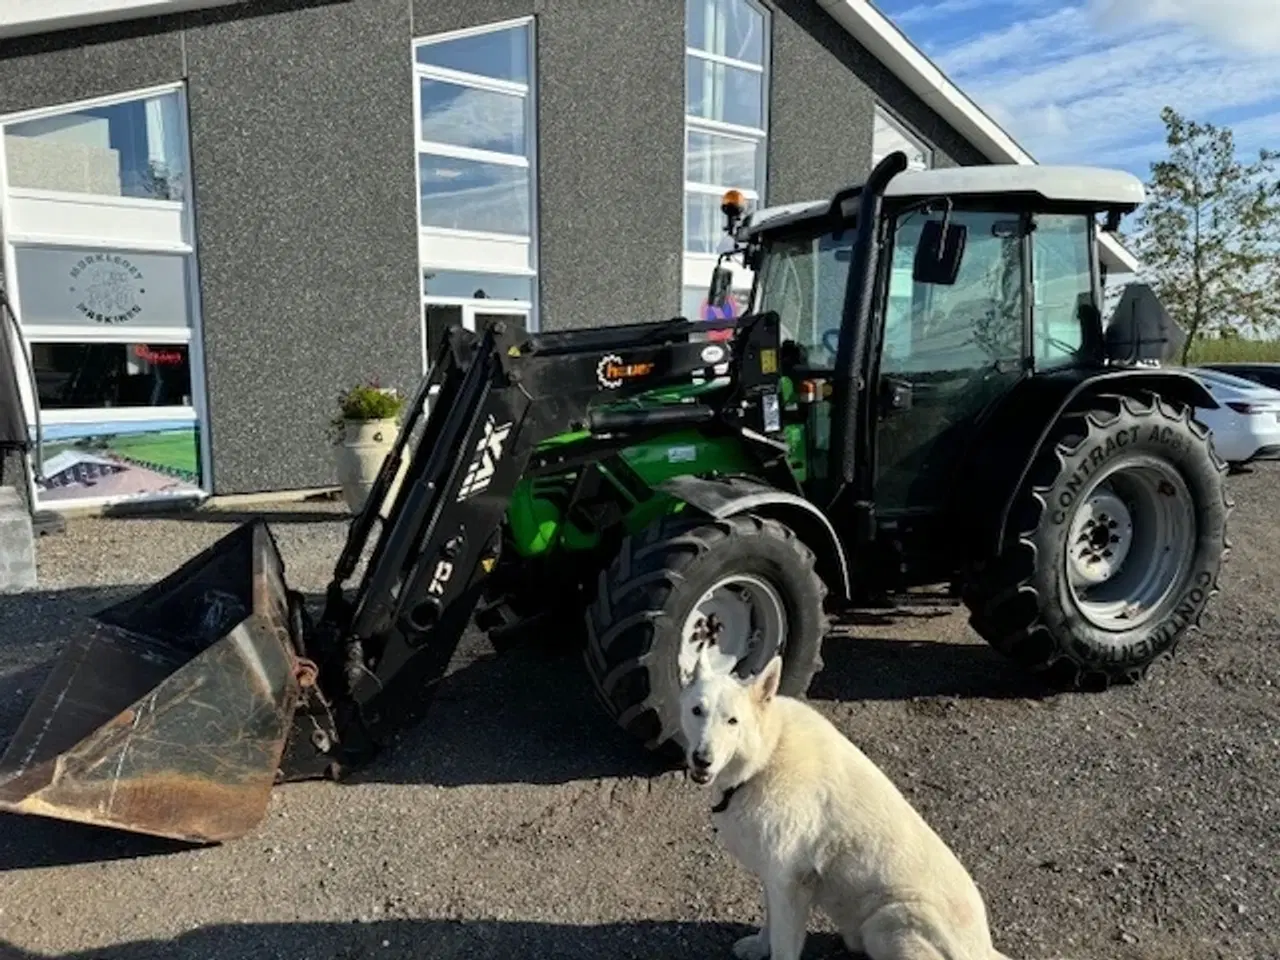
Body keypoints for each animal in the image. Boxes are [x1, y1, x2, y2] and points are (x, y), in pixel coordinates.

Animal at [680, 647, 1018, 960]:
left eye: (732, 721)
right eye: (696, 711)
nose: (701, 759)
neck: (766, 755)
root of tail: (984, 950)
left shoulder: (790, 882)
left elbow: (783, 944)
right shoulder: (774, 876)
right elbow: (769, 922)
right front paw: (760, 946)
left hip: (887, 920)